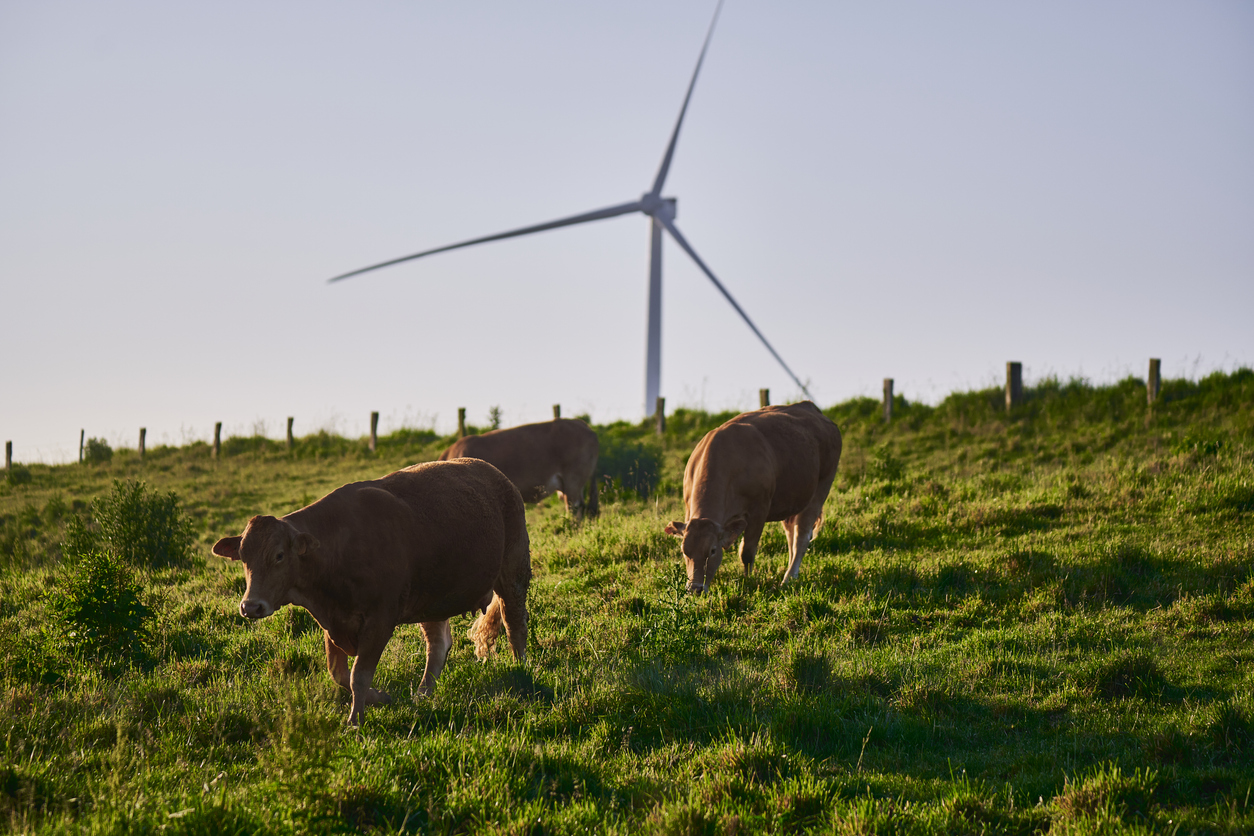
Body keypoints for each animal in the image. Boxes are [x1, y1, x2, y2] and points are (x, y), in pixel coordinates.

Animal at [210, 458, 529, 726]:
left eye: (278, 555)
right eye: (243, 556)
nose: (251, 607)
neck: (337, 549)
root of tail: (495, 474)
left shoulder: (380, 620)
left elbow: (358, 675)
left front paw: (355, 720)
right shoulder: (333, 622)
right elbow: (339, 673)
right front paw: (380, 698)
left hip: (513, 573)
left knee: (514, 623)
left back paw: (521, 669)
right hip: (433, 596)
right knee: (437, 645)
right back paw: (423, 693)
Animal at [667, 401, 842, 591]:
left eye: (712, 550)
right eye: (684, 551)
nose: (695, 588)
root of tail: (810, 408)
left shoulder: (759, 511)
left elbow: (747, 552)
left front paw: (748, 581)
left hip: (820, 490)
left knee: (801, 537)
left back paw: (788, 578)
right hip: (791, 499)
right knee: (791, 535)